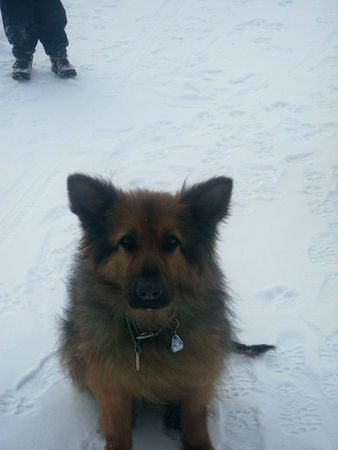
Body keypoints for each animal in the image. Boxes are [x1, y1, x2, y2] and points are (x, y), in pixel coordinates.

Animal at [58, 174, 274, 448]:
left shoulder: (197, 376)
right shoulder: (110, 385)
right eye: (126, 241)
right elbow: (117, 432)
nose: (149, 292)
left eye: (172, 242)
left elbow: (196, 421)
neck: (150, 328)